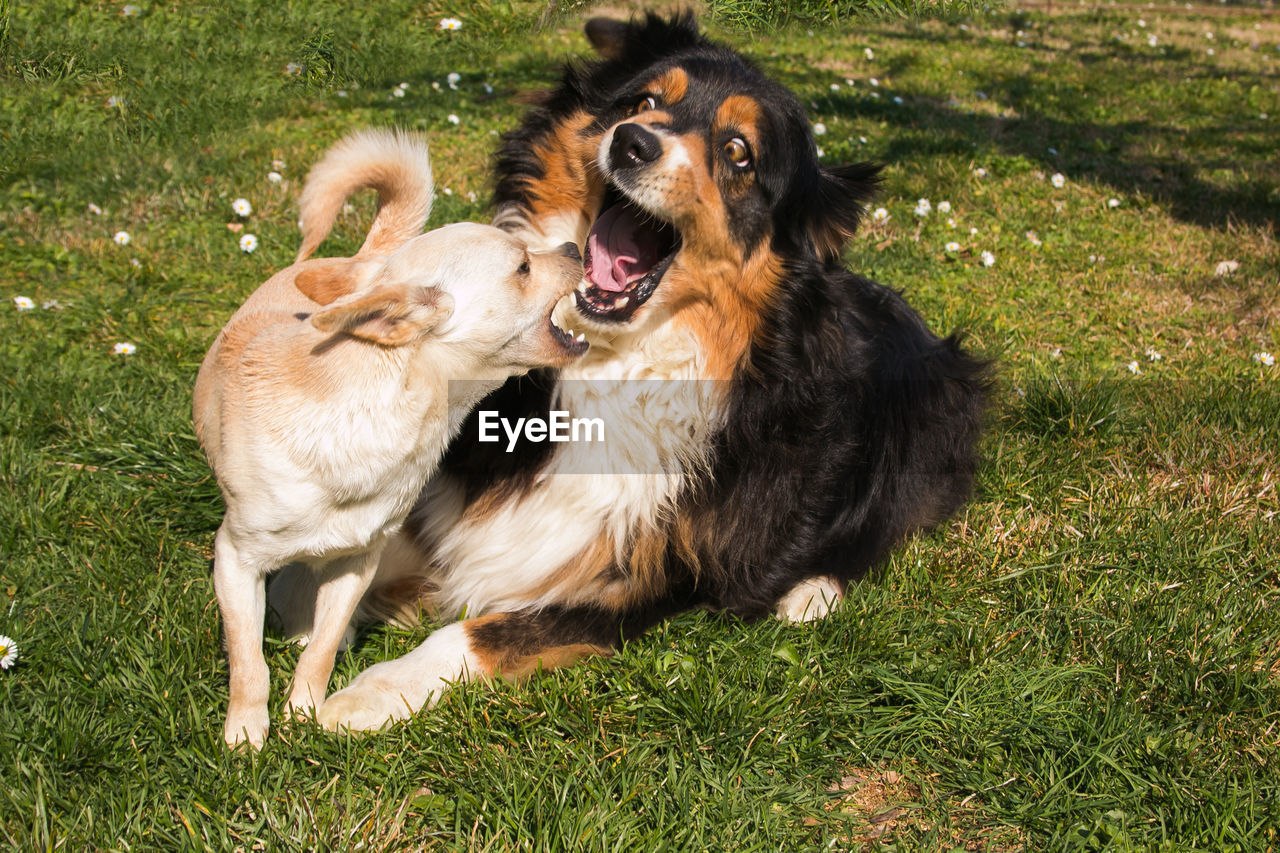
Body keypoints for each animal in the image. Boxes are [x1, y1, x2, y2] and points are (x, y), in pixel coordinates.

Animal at [192, 129, 586, 747]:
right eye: (523, 266)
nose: (573, 249)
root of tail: (362, 262)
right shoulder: (235, 561)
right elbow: (247, 659)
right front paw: (247, 734)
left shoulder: (357, 563)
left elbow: (322, 650)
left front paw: (304, 713)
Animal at [312, 11, 988, 732]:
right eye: (644, 101)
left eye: (738, 152)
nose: (634, 143)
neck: (615, 362)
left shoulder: (642, 585)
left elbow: (480, 632)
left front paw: (372, 690)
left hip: (931, 417)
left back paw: (809, 593)